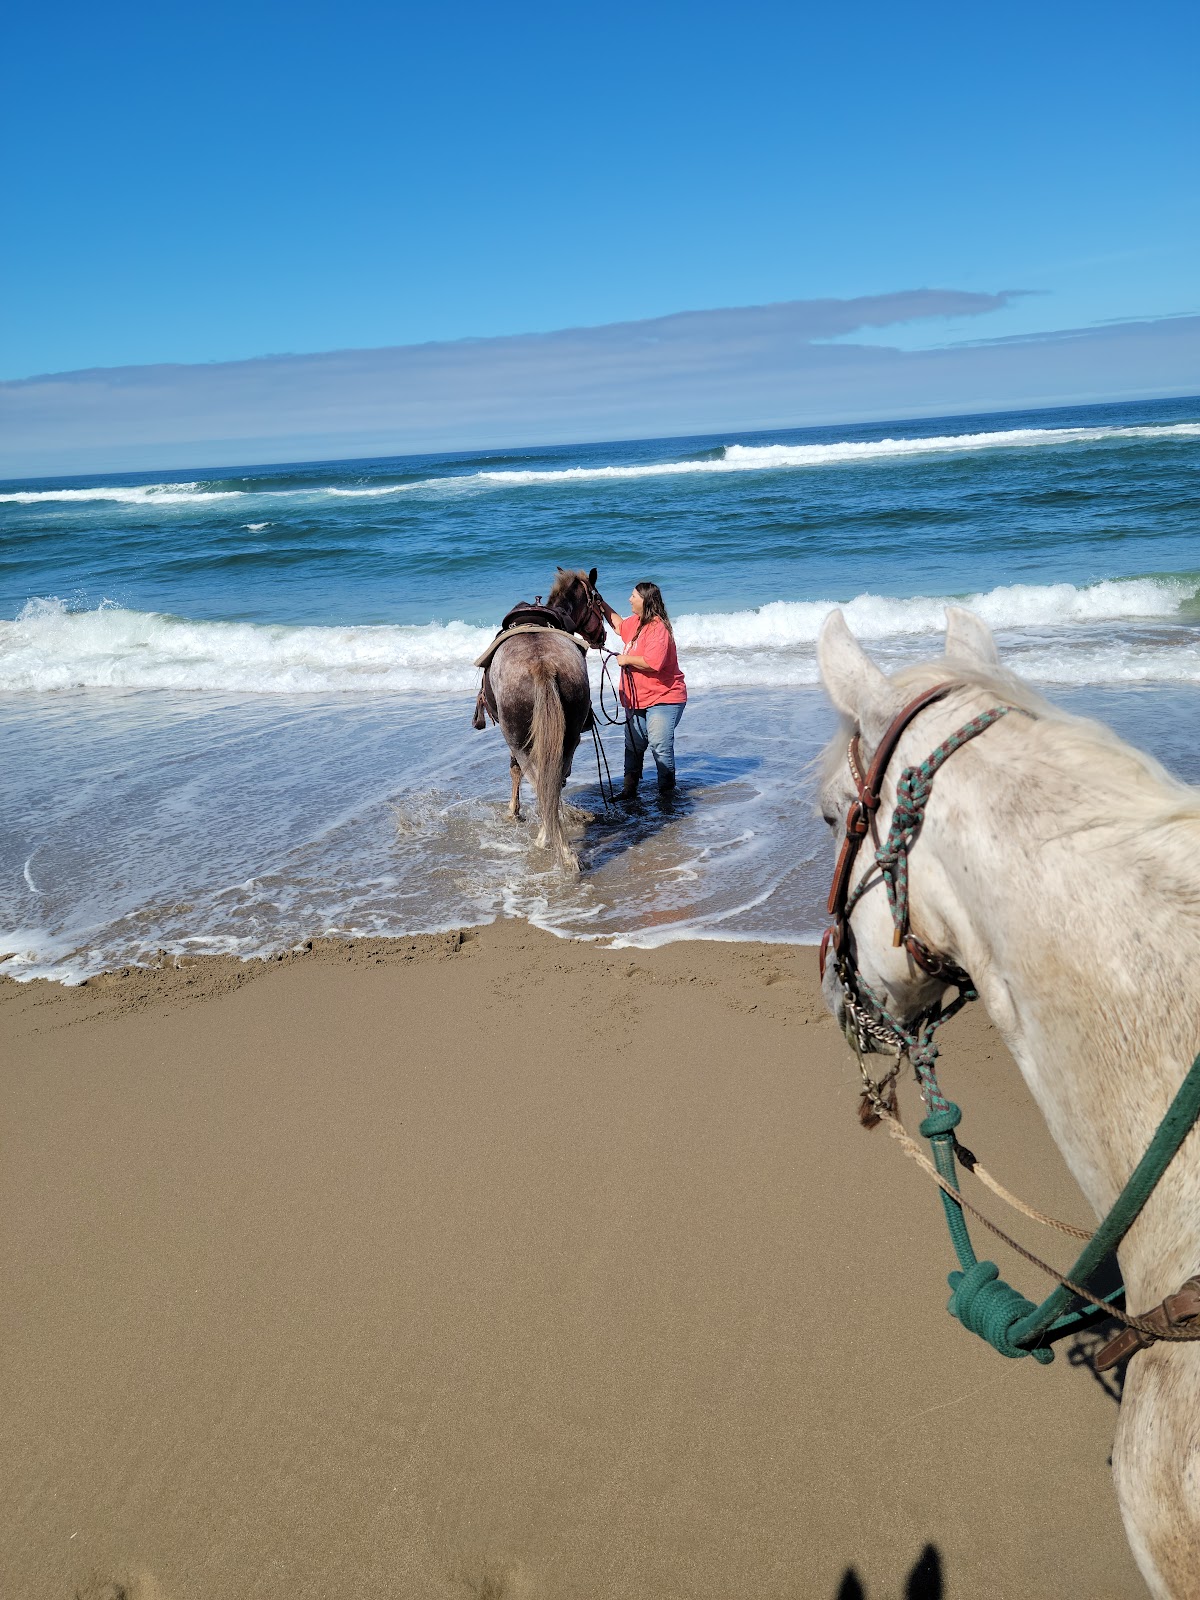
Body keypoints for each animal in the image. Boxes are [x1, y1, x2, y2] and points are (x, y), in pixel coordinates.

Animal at [482, 567, 607, 871]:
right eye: (598, 600)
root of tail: (542, 665)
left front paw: (514, 812)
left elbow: (515, 772)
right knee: (554, 779)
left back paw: (546, 839)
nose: (603, 635)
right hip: (569, 735)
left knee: (538, 780)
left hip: (518, 738)